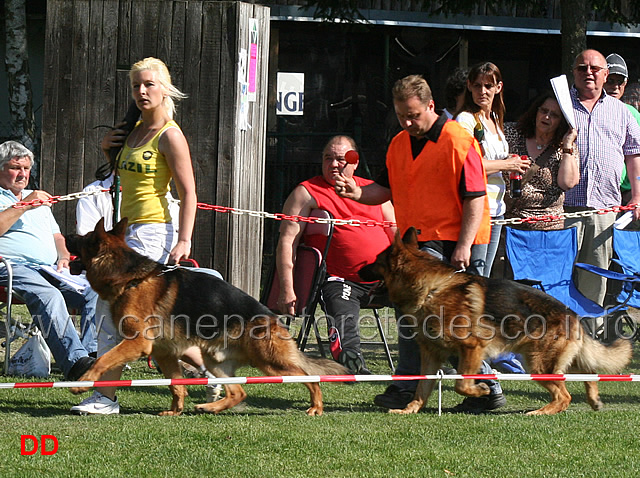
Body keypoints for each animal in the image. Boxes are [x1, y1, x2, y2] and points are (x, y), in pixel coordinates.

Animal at [66, 218, 344, 416]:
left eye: (83, 238)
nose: (67, 235)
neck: (130, 277)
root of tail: (273, 318)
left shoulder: (137, 344)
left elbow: (102, 360)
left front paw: (82, 383)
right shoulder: (164, 353)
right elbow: (176, 384)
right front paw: (176, 410)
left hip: (269, 362)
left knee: (309, 377)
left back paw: (316, 406)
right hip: (214, 361)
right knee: (238, 392)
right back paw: (209, 407)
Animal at [358, 228, 632, 414]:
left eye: (375, 263)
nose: (358, 269)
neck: (430, 290)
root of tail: (572, 314)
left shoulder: (471, 347)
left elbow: (461, 383)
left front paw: (481, 390)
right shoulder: (431, 355)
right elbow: (421, 388)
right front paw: (410, 409)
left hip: (538, 365)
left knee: (565, 396)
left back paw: (540, 412)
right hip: (554, 360)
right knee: (590, 371)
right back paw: (593, 400)